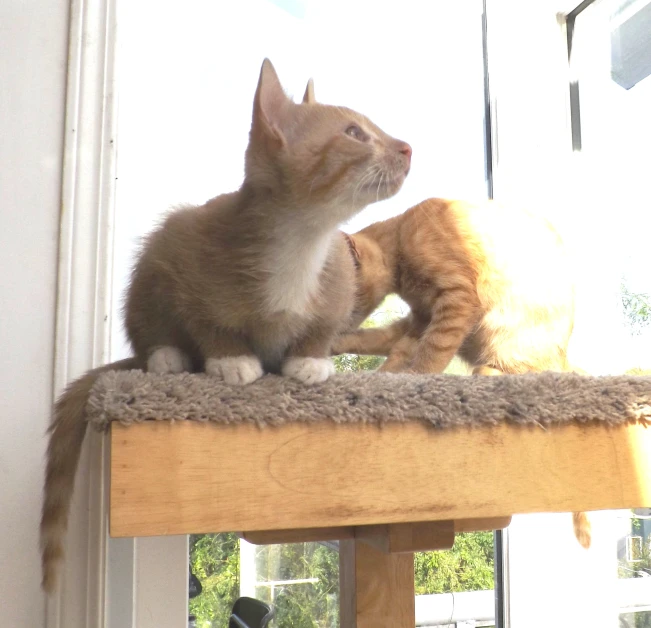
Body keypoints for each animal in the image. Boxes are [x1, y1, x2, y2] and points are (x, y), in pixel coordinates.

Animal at [40, 60, 410, 592]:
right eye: (355, 133)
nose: (407, 148)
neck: (303, 242)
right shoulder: (186, 251)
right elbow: (205, 318)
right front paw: (232, 360)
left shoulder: (338, 279)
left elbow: (321, 327)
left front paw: (310, 361)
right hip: (153, 260)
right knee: (149, 319)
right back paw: (167, 357)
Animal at [336, 199, 592, 548]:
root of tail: (565, 355)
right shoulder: (420, 319)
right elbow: (386, 346)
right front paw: (375, 374)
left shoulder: (453, 302)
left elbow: (429, 355)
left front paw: (414, 381)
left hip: (504, 336)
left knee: (529, 374)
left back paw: (488, 374)